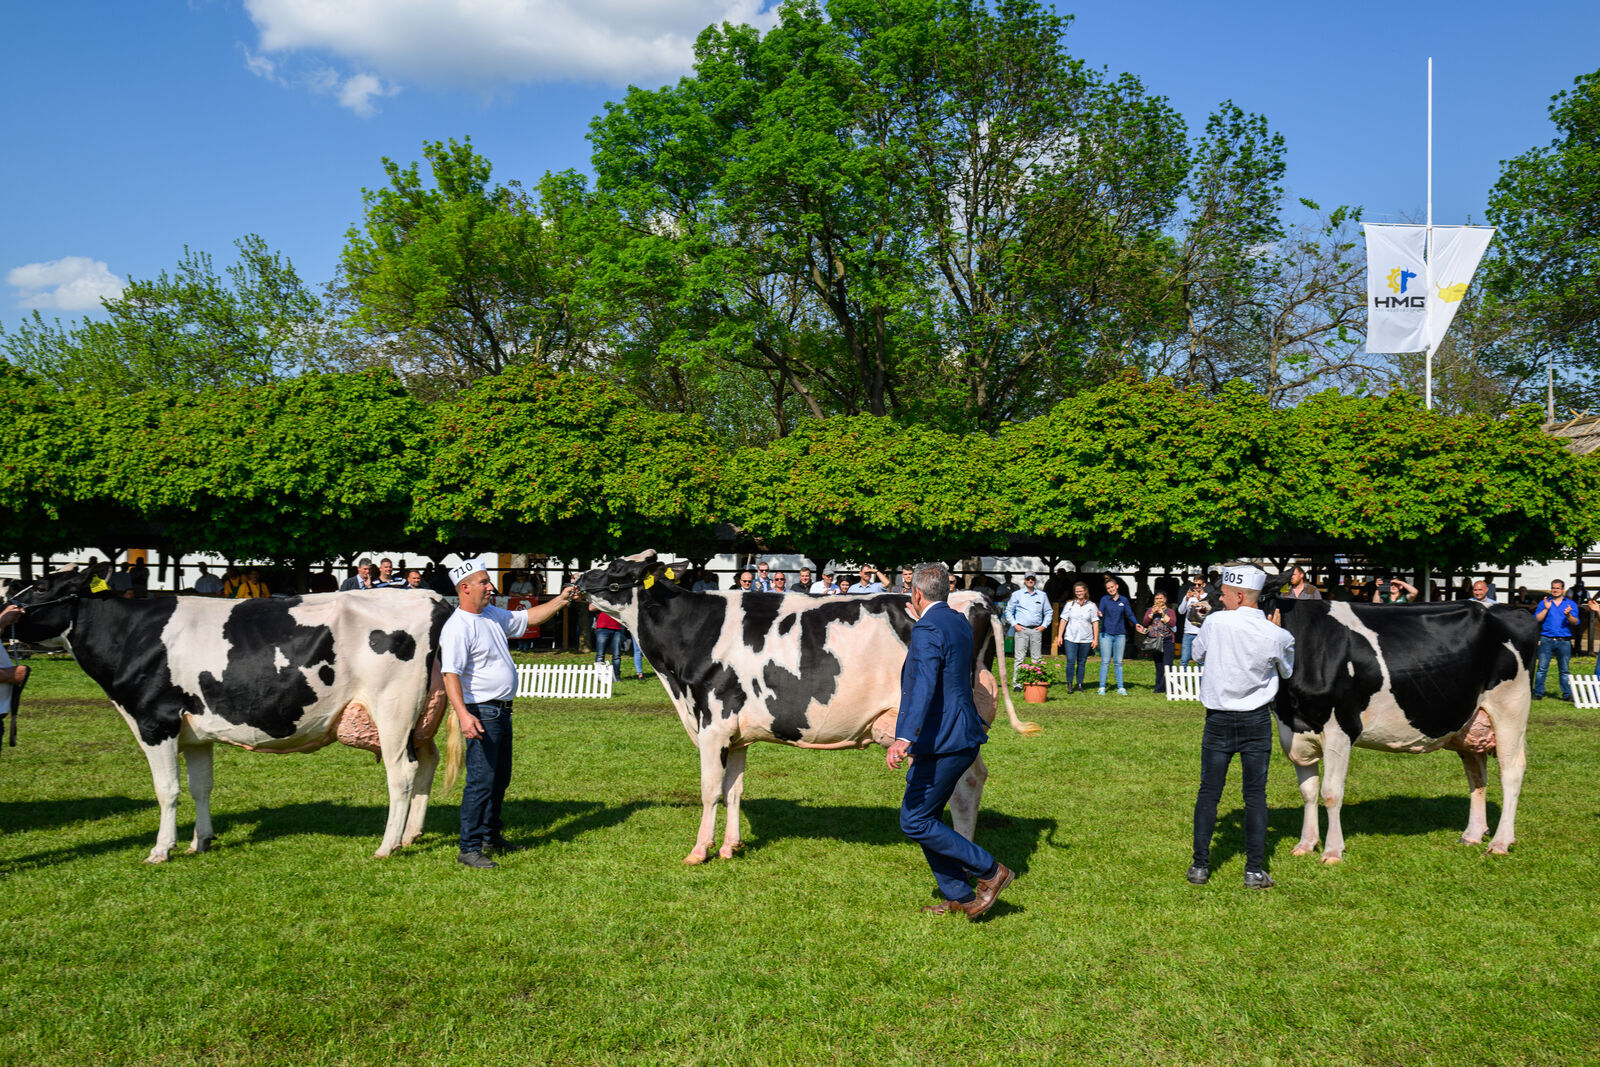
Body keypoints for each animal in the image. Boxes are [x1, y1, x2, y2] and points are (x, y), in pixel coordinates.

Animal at [6, 572, 457, 863]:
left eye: (41, 586)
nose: (4, 606)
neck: (133, 633)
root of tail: (428, 597)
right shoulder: (195, 732)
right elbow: (200, 787)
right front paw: (200, 842)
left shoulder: (155, 721)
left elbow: (167, 789)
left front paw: (161, 849)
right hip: (421, 717)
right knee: (427, 764)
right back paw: (411, 835)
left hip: (393, 708)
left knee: (401, 772)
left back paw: (387, 846)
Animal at [582, 556, 1043, 863]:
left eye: (617, 569)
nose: (581, 579)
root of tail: (973, 597)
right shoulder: (738, 734)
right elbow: (735, 790)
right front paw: (731, 847)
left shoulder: (713, 724)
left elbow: (710, 790)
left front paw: (699, 851)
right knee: (975, 778)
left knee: (965, 786)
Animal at [1260, 598, 1536, 863]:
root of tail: (1510, 608)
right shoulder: (1295, 731)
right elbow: (1308, 792)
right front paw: (1305, 845)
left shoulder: (1340, 729)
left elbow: (1330, 792)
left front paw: (1333, 852)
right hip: (1470, 722)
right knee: (1476, 775)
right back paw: (1473, 835)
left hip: (1511, 709)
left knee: (1511, 772)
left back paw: (1500, 843)